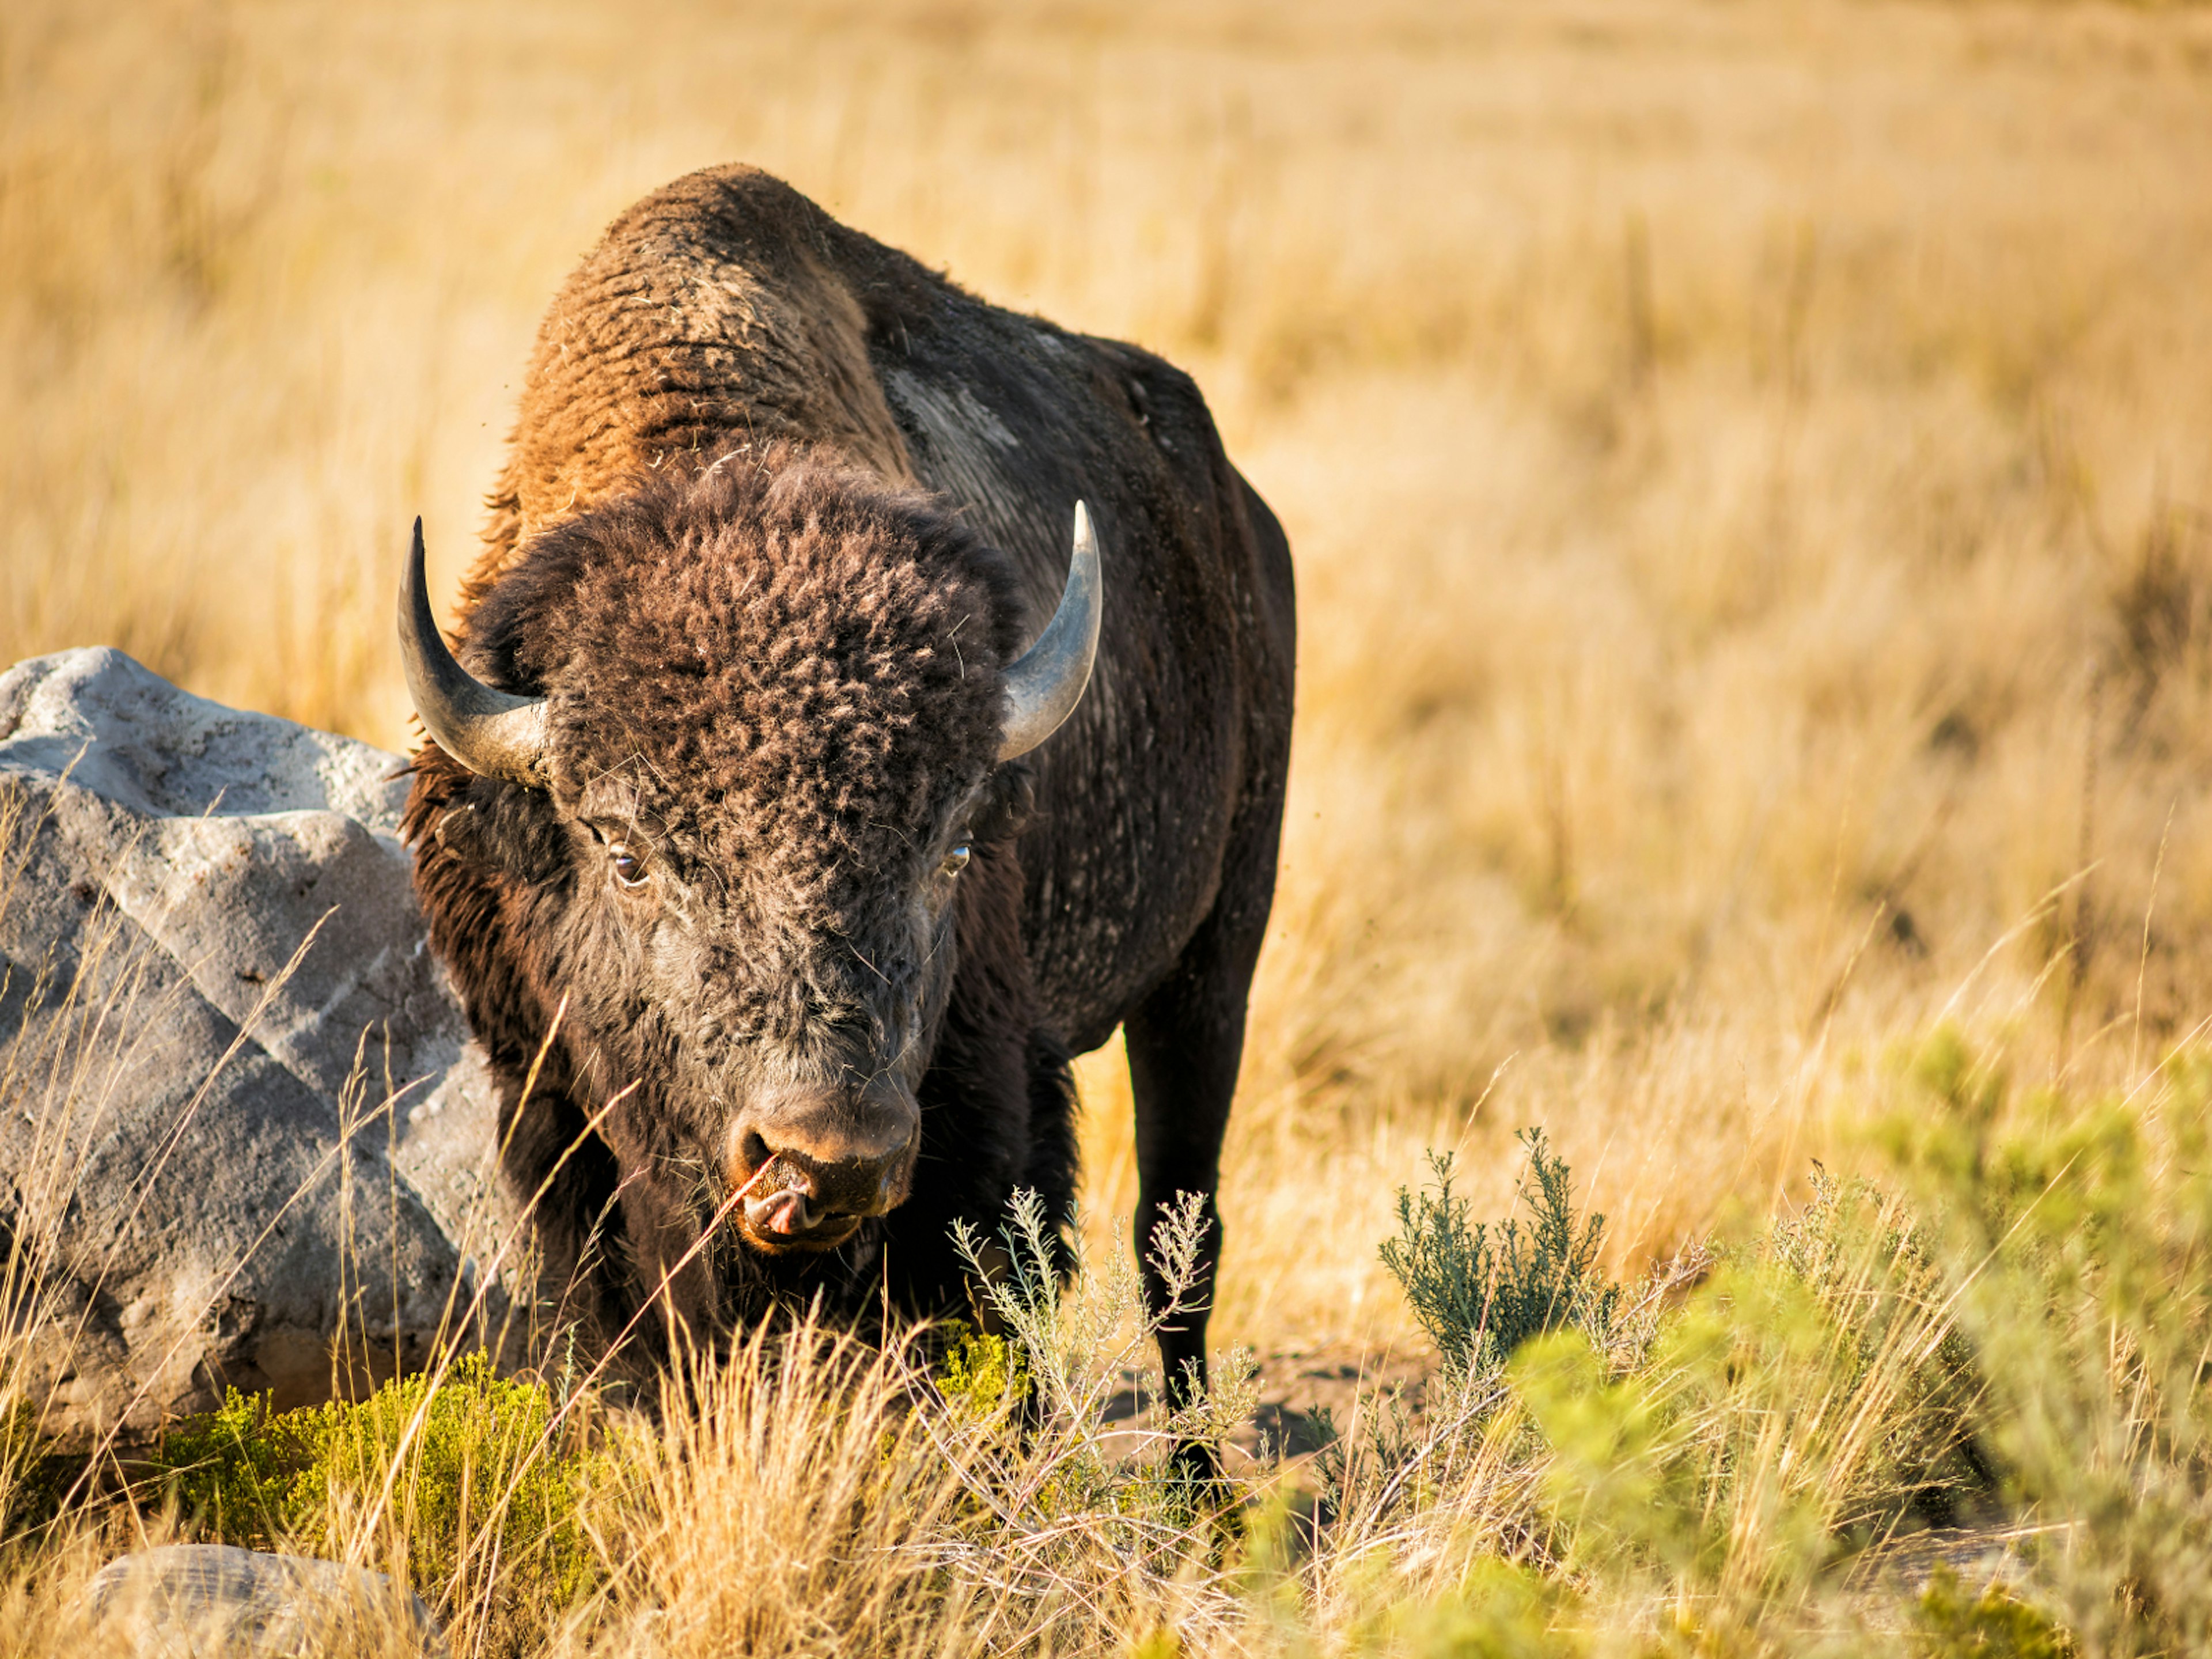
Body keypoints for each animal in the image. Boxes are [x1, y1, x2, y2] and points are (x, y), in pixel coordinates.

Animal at [398, 166, 1291, 1415]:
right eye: (626, 854)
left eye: (952, 849)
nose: (828, 1160)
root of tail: (1244, 521)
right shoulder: (548, 1101)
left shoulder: (982, 1105)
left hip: (1214, 965)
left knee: (1181, 1245)